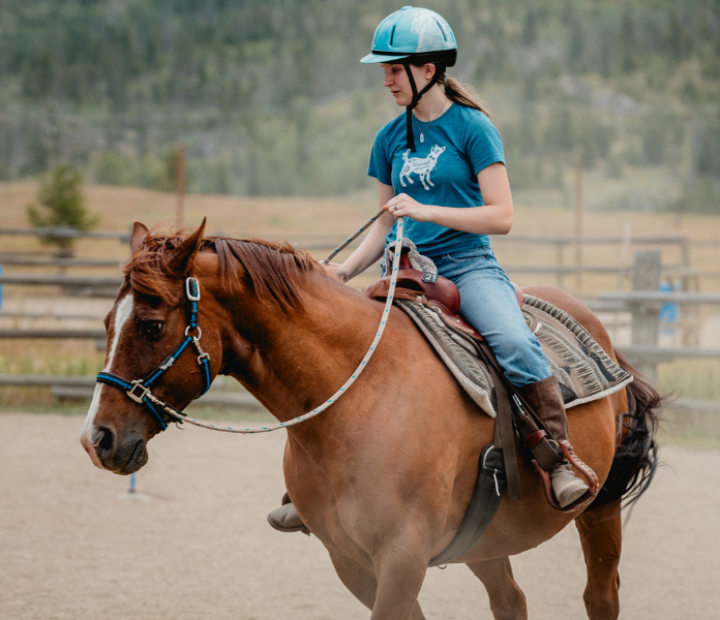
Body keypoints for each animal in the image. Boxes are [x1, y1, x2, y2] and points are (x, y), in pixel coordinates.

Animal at [80, 220, 661, 620]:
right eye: (108, 321)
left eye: (152, 325)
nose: (96, 439)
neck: (359, 397)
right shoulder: (352, 562)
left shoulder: (402, 559)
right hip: (485, 537)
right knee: (511, 601)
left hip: (600, 509)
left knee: (600, 597)